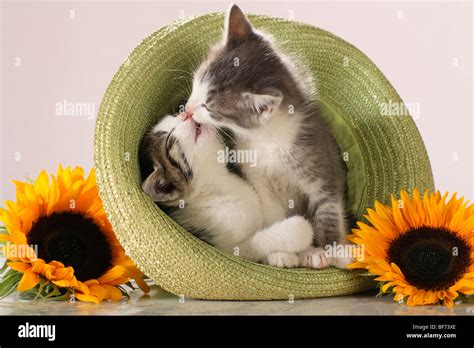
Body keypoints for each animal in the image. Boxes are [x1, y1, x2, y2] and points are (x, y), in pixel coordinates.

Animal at [140, 113, 314, 268]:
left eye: (174, 115)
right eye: (169, 139)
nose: (186, 113)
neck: (220, 183)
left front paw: (297, 253)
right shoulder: (227, 247)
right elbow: (257, 243)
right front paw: (296, 236)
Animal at [185, 4, 352, 268]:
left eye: (209, 107)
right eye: (196, 82)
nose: (188, 109)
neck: (268, 138)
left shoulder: (321, 165)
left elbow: (328, 209)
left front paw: (333, 251)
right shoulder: (257, 176)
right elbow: (272, 212)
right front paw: (282, 253)